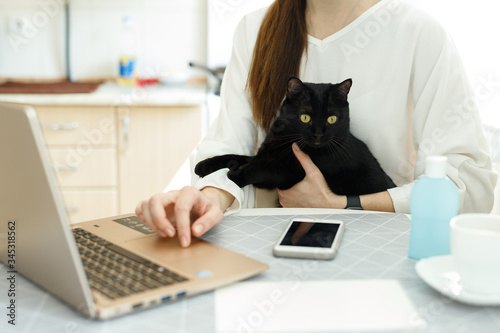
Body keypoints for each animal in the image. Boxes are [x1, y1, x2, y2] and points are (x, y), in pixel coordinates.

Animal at [194, 76, 394, 195]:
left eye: (331, 118)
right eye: (305, 117)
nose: (318, 134)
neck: (285, 139)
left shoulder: (291, 174)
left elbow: (261, 167)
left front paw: (236, 175)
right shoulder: (264, 153)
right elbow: (236, 157)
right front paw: (204, 165)